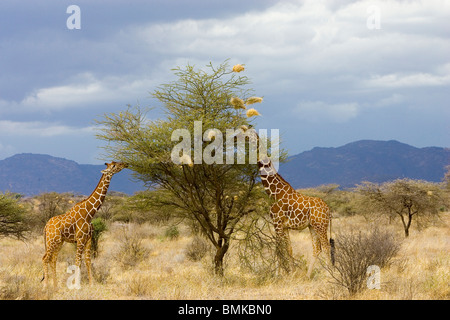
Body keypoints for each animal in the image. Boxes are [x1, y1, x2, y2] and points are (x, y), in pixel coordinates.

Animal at [239, 127, 334, 278]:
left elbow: (279, 249)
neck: (274, 193)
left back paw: (329, 275)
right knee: (317, 248)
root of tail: (329, 210)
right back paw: (308, 276)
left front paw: (278, 275)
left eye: (245, 133)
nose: (235, 137)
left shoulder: (277, 223)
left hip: (320, 225)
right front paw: (292, 273)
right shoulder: (285, 226)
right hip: (312, 226)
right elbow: (288, 248)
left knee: (326, 246)